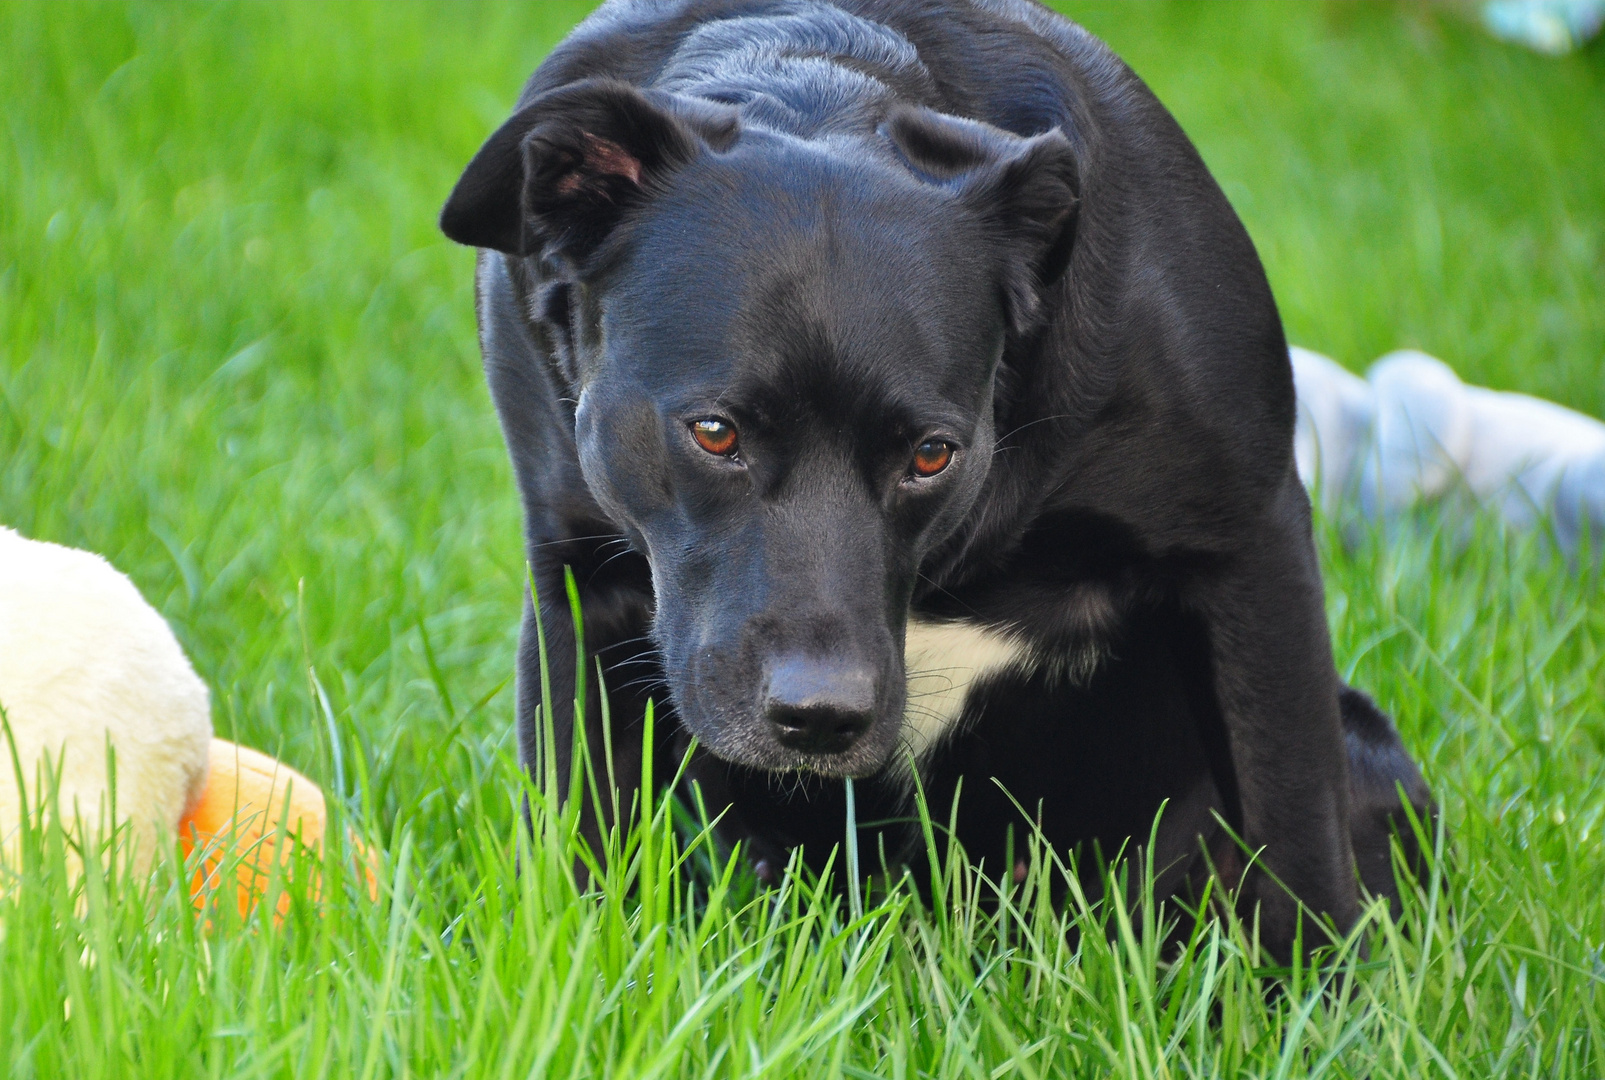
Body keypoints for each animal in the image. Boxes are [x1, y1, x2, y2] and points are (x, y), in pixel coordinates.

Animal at [439, 0, 1431, 962]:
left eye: (930, 455)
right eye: (715, 434)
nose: (820, 718)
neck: (815, 75)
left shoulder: (1250, 546)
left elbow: (1296, 842)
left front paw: (1321, 999)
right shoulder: (581, 579)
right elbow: (581, 835)